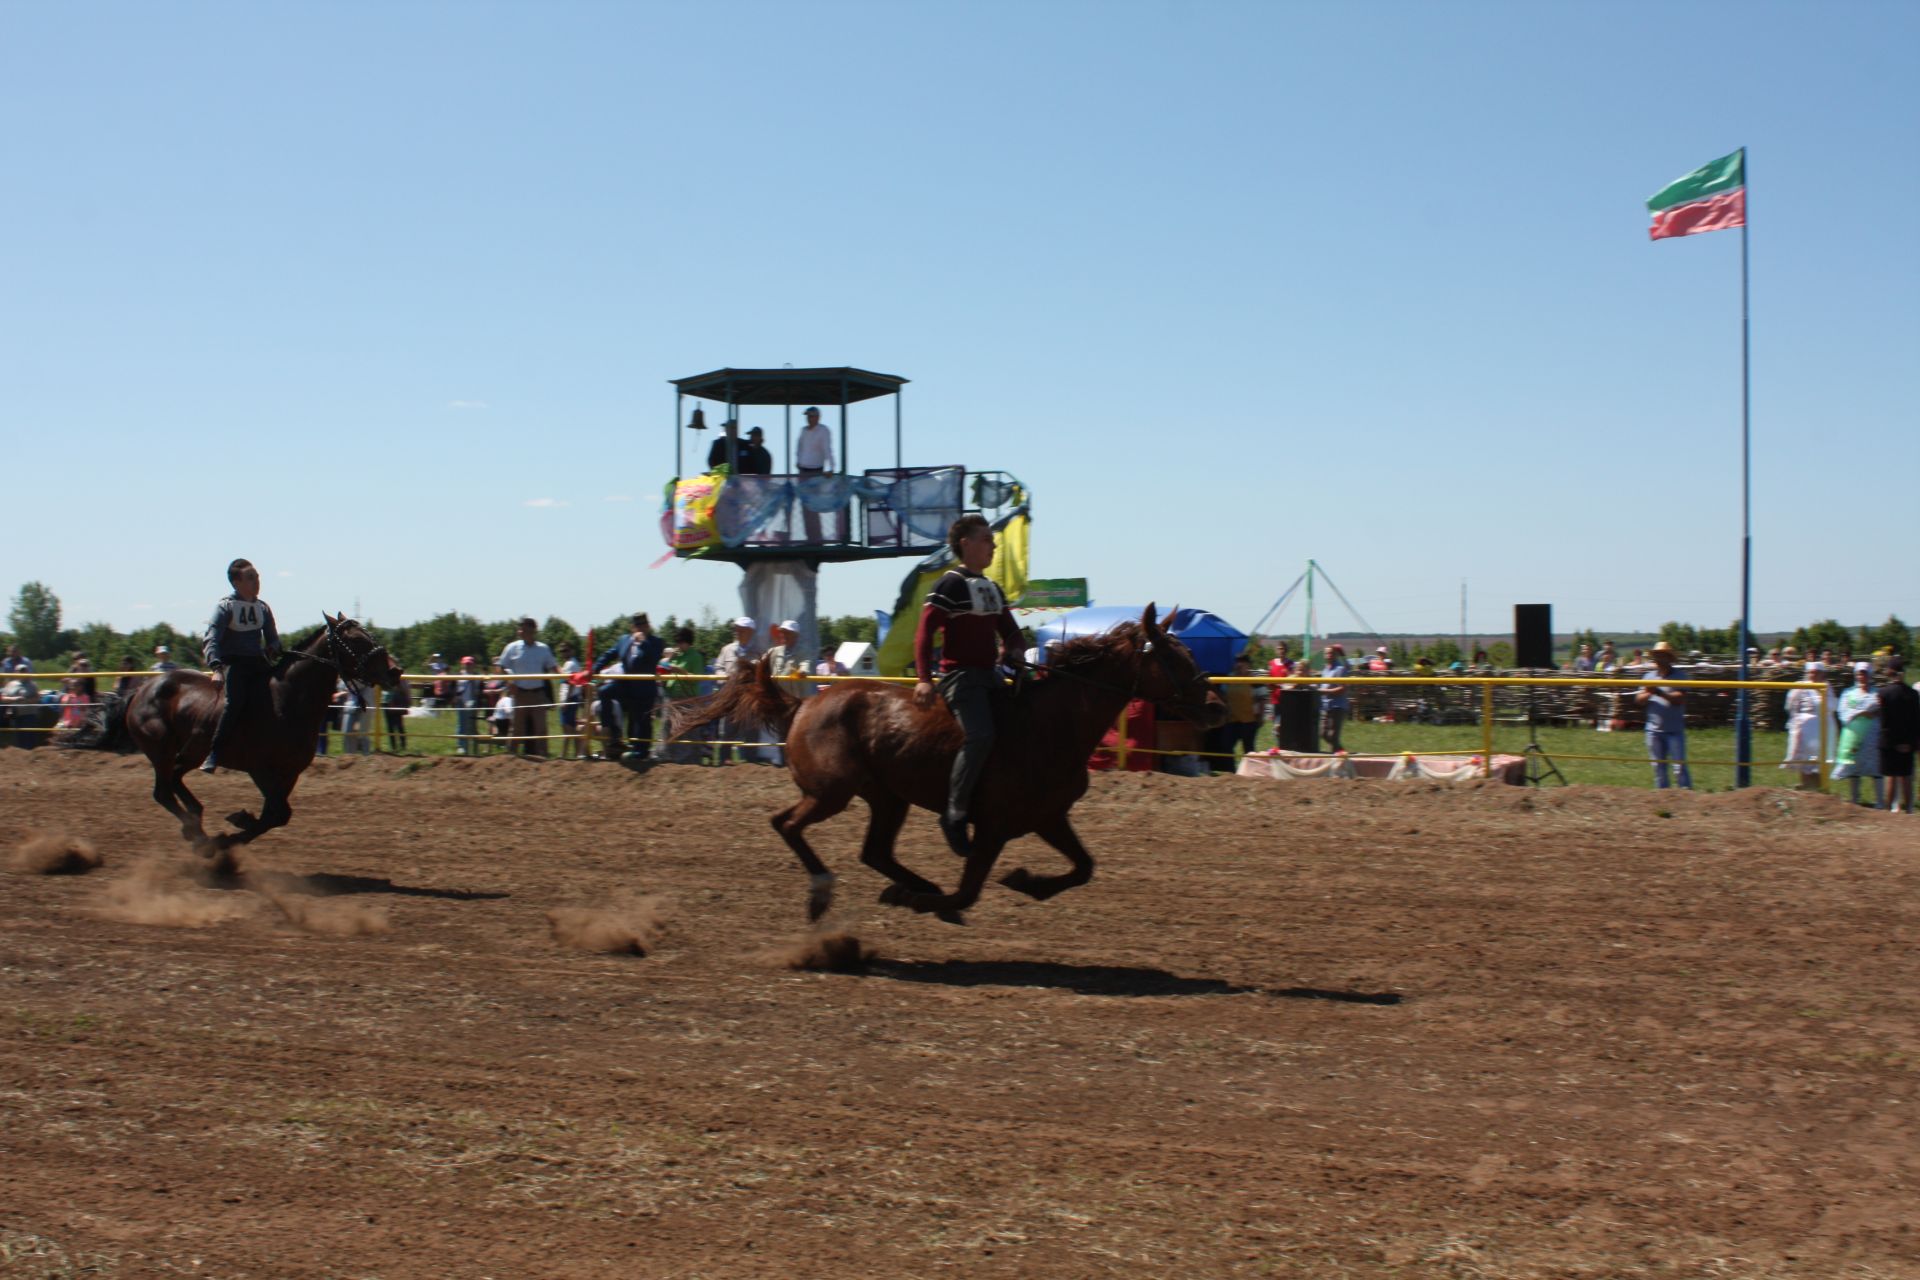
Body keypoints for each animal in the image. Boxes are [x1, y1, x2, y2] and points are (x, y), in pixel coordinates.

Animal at [125, 614, 403, 859]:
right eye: (356, 639)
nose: (395, 671)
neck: (286, 700)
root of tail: (141, 691)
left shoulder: (290, 772)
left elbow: (277, 815)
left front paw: (238, 823)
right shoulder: (260, 770)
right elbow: (276, 813)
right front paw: (228, 834)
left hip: (189, 754)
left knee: (174, 780)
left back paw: (195, 821)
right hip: (162, 750)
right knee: (163, 791)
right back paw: (198, 835)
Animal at [672, 606, 1213, 924]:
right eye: (1174, 656)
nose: (1215, 707)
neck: (1050, 723)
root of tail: (802, 705)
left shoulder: (1048, 817)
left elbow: (1083, 867)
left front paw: (1027, 883)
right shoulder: (992, 826)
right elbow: (967, 892)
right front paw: (927, 901)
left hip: (887, 798)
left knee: (873, 851)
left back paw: (910, 885)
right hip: (831, 793)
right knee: (786, 824)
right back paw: (831, 893)